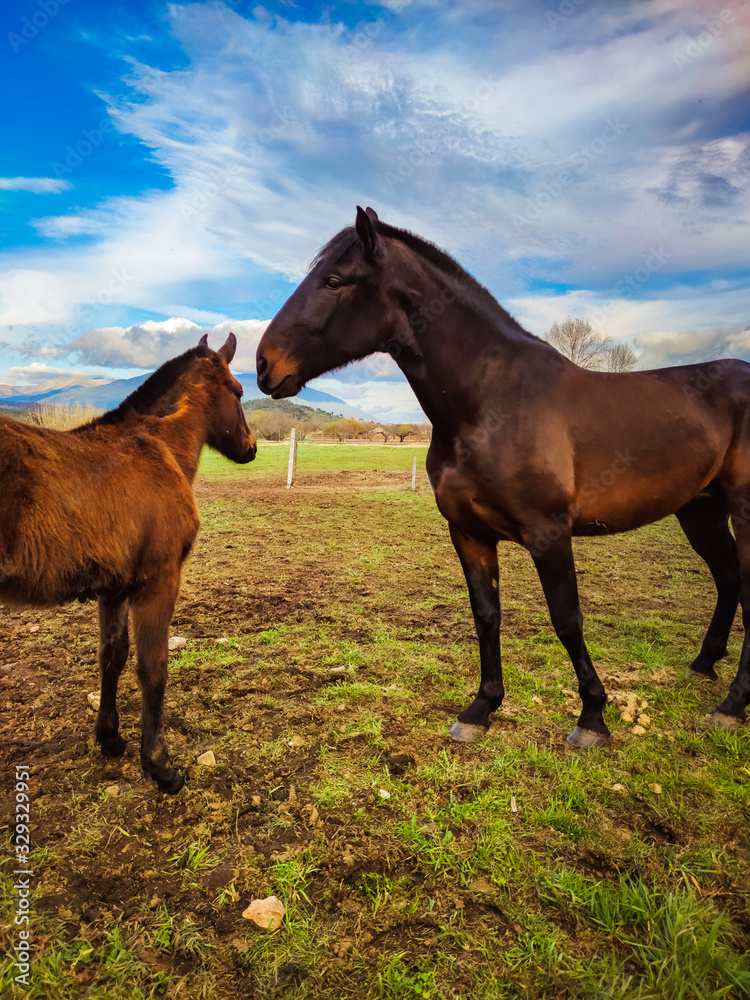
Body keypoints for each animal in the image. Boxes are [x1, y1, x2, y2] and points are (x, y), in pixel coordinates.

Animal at [0, 333, 256, 792]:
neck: (158, 449)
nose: (251, 447)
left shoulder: (113, 588)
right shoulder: (159, 581)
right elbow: (153, 668)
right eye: (239, 391)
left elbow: (112, 656)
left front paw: (110, 738)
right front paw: (158, 764)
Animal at [256, 206, 750, 748]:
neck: (492, 401)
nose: (262, 364)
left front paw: (592, 718)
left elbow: (567, 619)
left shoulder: (548, 533)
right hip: (700, 510)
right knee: (729, 578)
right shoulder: (469, 533)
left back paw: (732, 706)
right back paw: (704, 666)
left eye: (333, 280)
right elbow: (486, 615)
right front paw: (481, 708)